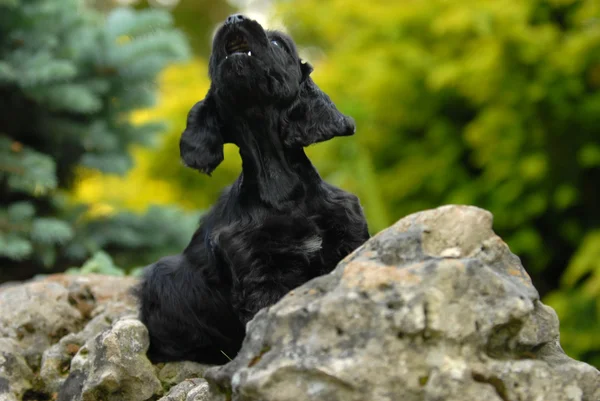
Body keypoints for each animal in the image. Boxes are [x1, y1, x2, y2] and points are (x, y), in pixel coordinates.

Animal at [138, 14, 368, 364]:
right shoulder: (257, 269)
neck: (281, 187)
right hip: (160, 277)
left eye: (277, 43)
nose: (234, 18)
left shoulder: (349, 235)